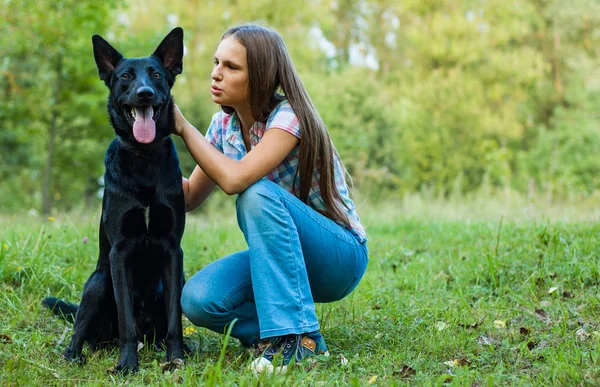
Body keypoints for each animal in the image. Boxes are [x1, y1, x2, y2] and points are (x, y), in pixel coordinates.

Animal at [42, 26, 185, 372]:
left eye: (156, 75)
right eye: (125, 77)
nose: (144, 93)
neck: (144, 157)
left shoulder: (173, 250)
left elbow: (175, 317)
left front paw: (175, 359)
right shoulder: (118, 253)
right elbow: (125, 320)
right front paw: (128, 365)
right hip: (98, 282)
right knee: (80, 332)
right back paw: (76, 355)